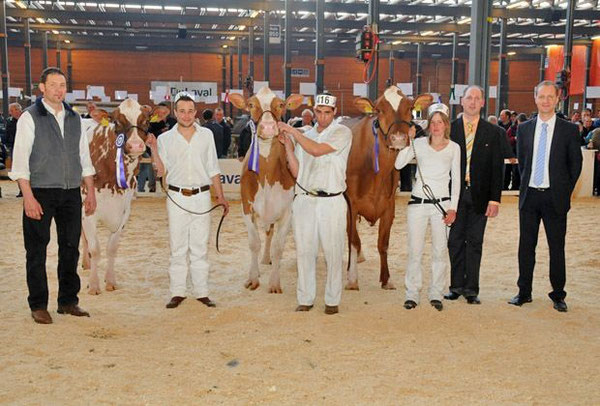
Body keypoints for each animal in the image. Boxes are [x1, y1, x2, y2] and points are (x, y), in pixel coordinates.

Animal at [81, 98, 149, 294]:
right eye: (117, 121)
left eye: (146, 120)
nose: (136, 145)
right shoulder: (87, 210)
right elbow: (95, 248)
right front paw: (93, 285)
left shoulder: (124, 213)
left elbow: (112, 248)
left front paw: (110, 281)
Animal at [230, 87, 304, 294]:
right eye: (250, 104)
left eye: (281, 104)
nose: (269, 127)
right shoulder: (247, 208)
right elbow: (254, 243)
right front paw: (253, 278)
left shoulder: (287, 211)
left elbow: (279, 247)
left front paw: (274, 283)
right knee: (267, 233)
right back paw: (263, 260)